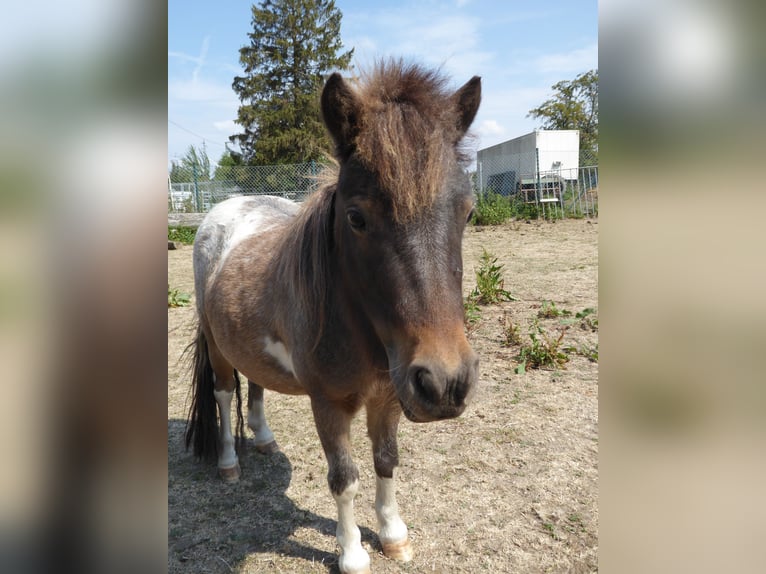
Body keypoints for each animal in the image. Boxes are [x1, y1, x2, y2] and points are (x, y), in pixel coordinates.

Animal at [188, 60, 480, 572]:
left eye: (467, 212)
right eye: (356, 218)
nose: (446, 383)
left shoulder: (389, 395)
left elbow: (386, 460)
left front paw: (394, 535)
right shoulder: (327, 403)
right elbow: (344, 477)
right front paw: (352, 553)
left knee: (256, 381)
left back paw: (264, 438)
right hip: (218, 348)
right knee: (224, 396)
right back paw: (228, 463)